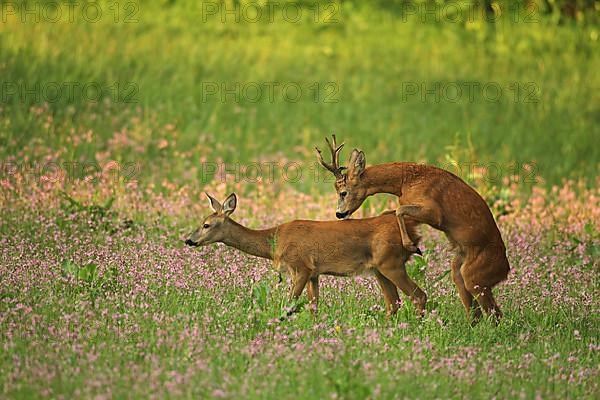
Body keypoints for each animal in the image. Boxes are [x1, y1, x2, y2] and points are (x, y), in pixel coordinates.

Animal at [185, 192, 424, 318]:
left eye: (206, 225)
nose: (188, 240)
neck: (275, 241)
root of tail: (413, 229)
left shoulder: (300, 266)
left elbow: (289, 304)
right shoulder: (314, 273)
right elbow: (313, 307)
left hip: (391, 263)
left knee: (419, 296)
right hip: (379, 269)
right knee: (393, 303)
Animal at [316, 136, 508, 324]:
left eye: (343, 192)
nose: (339, 213)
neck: (405, 182)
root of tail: (505, 269)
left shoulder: (434, 211)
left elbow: (399, 210)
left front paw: (412, 246)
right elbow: (394, 211)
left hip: (476, 276)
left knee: (495, 314)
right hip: (460, 269)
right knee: (478, 311)